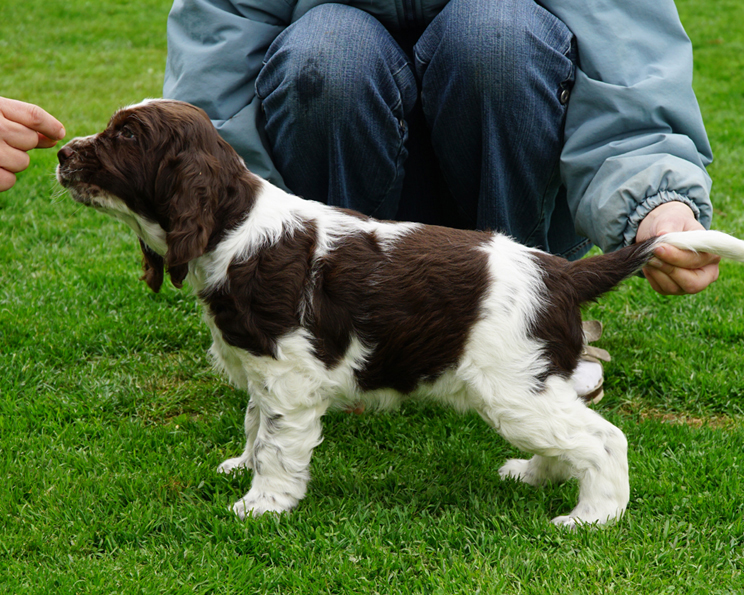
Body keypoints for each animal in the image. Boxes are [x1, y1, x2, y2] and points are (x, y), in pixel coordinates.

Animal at [56, 100, 744, 528]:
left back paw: (592, 517)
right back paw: (531, 473)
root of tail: (559, 272)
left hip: (511, 386)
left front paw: (262, 503)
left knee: (603, 440)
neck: (234, 230)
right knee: (571, 434)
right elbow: (255, 423)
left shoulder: (289, 378)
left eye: (127, 137)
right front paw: (242, 466)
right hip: (536, 384)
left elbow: (279, 442)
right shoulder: (263, 372)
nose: (63, 153)